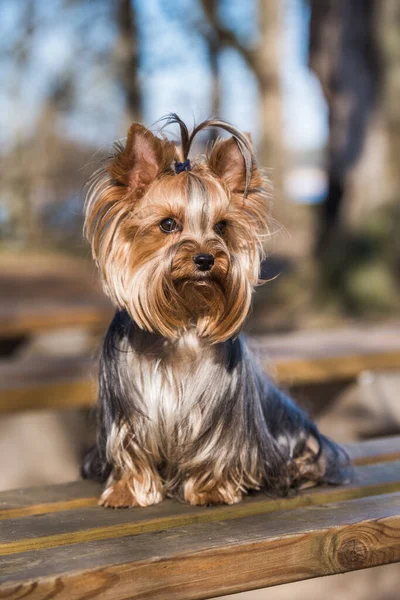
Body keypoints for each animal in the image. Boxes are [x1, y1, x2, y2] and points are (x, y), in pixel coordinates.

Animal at [82, 113, 350, 506]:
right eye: (168, 224)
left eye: (221, 226)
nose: (205, 258)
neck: (183, 320)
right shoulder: (129, 407)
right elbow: (131, 447)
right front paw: (126, 491)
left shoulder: (219, 412)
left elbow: (215, 448)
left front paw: (210, 489)